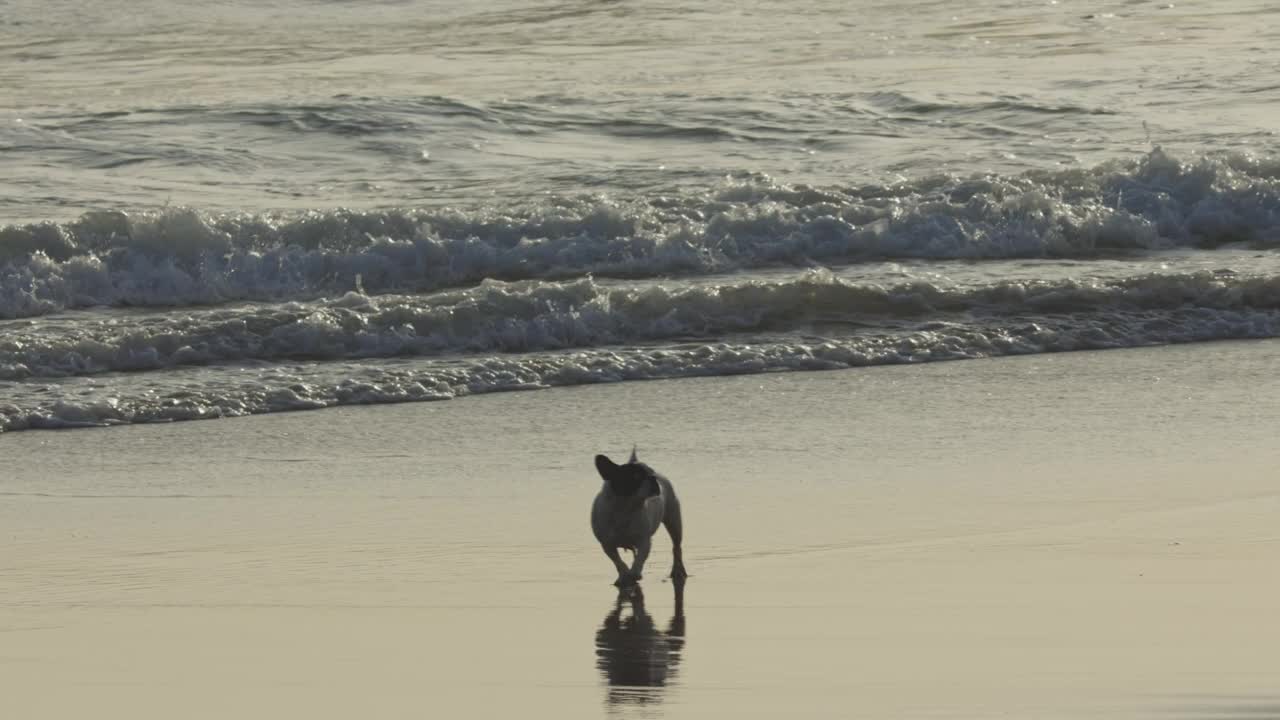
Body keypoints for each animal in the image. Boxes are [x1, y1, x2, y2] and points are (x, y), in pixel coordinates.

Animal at [591, 445, 691, 586]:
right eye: (636, 476)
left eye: (651, 473)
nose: (653, 478)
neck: (625, 508)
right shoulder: (607, 544)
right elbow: (618, 561)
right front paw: (624, 575)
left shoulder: (644, 541)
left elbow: (640, 558)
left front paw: (634, 573)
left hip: (674, 520)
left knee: (676, 547)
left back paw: (678, 571)